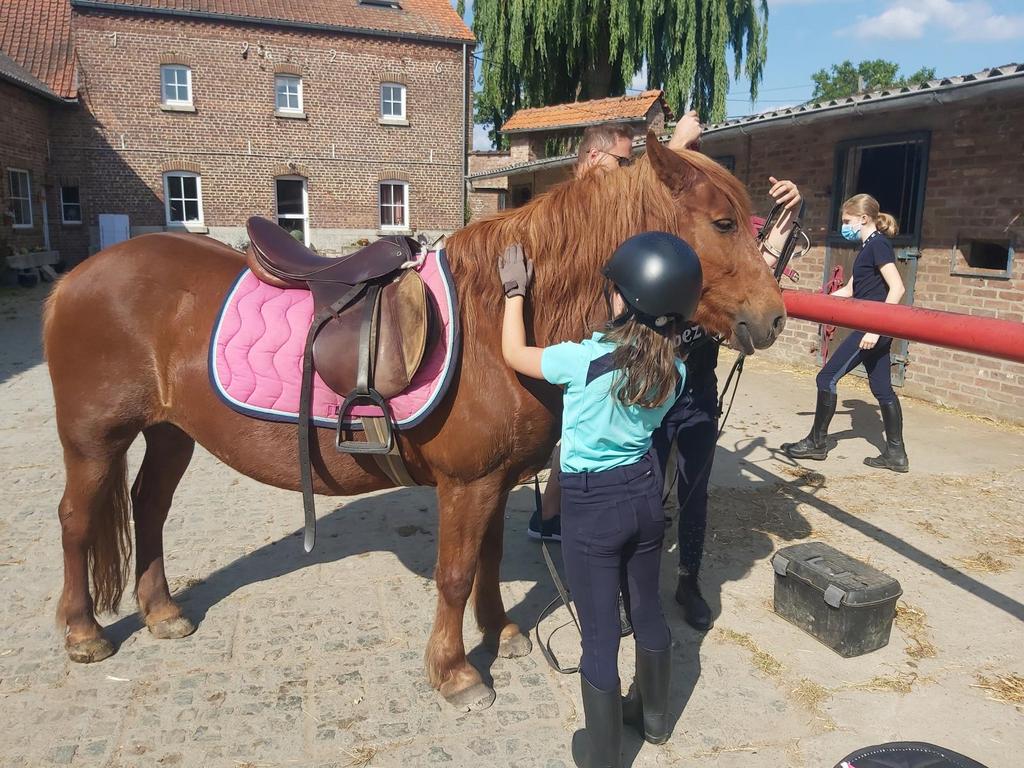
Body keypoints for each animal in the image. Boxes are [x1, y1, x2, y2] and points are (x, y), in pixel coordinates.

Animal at [44, 133, 786, 710]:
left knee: (149, 506)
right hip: (94, 438)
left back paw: (163, 613)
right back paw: (83, 633)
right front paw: (455, 673)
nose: (775, 318)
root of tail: (72, 279)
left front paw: (501, 635)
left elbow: (488, 561)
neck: (497, 326)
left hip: (171, 431)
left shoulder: (497, 480)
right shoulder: (467, 484)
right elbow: (455, 573)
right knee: (76, 519)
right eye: (723, 222)